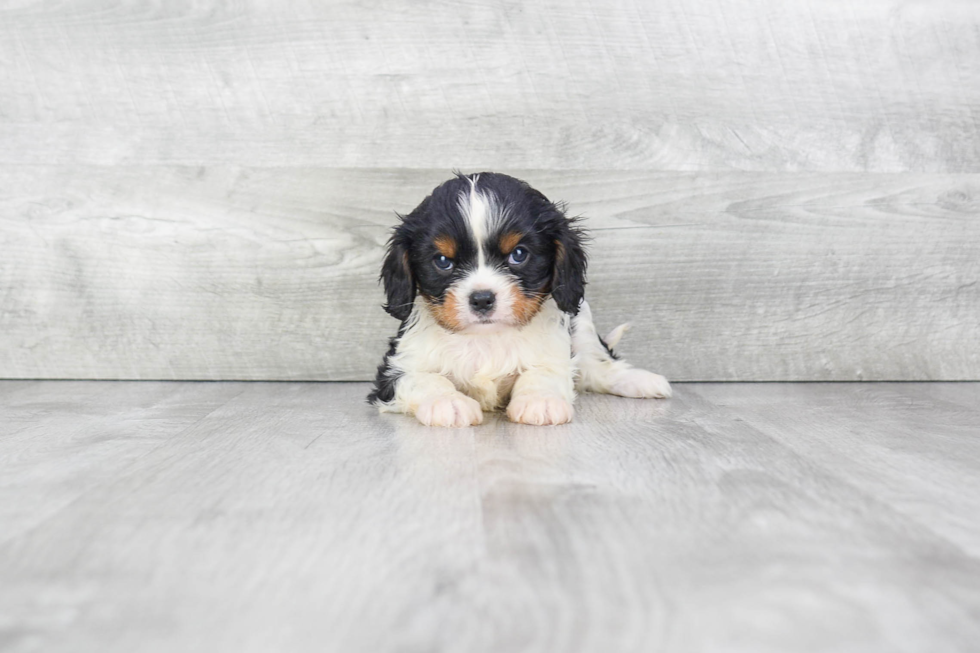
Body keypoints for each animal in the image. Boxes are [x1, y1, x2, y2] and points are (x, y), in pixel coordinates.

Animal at [368, 172, 672, 428]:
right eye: (442, 261)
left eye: (518, 254)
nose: (482, 299)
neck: (487, 339)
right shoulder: (396, 369)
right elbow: (425, 379)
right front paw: (448, 403)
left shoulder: (555, 353)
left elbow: (542, 373)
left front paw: (541, 401)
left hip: (582, 320)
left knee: (597, 366)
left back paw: (640, 380)